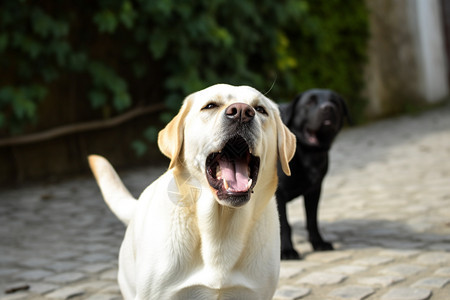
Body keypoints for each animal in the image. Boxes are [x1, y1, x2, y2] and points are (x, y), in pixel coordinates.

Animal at [276, 89, 350, 260]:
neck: (307, 154)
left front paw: (318, 243)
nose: (328, 108)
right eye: (309, 103)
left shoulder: (314, 190)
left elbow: (312, 220)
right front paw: (287, 251)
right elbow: (285, 225)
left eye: (334, 102)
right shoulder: (278, 194)